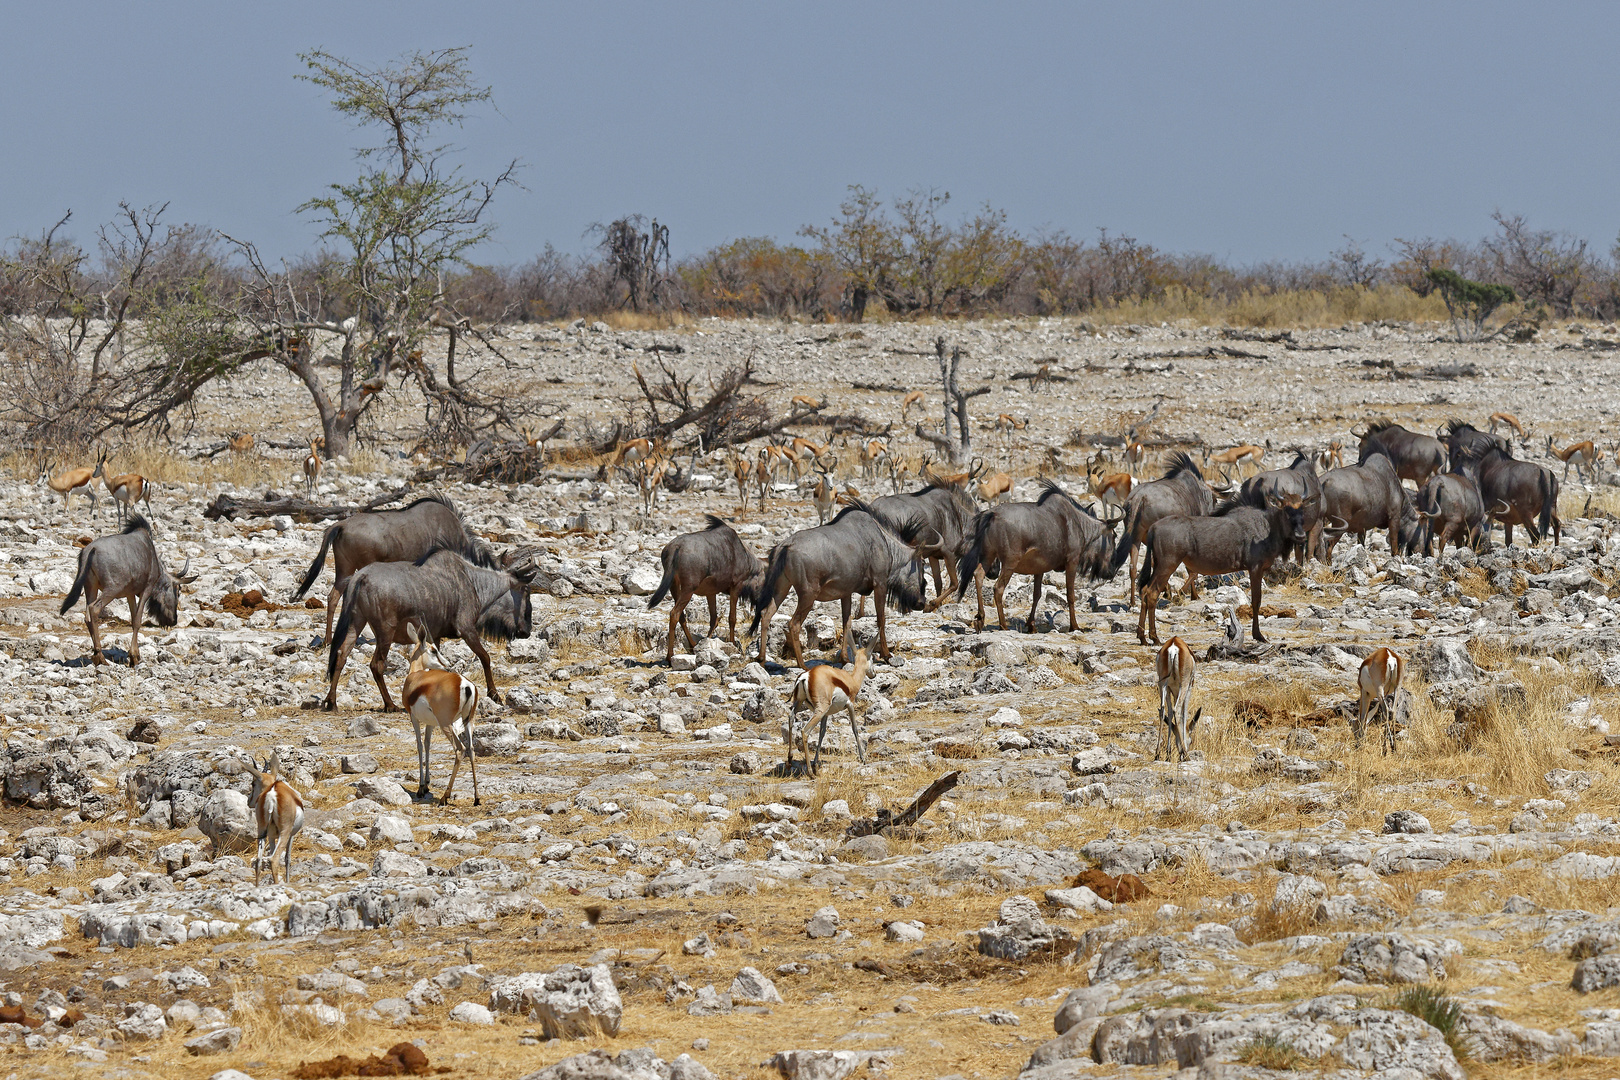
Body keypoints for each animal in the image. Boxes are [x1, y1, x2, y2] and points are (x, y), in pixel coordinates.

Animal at [403, 621, 479, 806]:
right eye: (433, 650)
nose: (447, 664)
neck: (415, 678)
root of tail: (465, 684)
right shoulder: (431, 722)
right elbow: (428, 744)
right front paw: (427, 784)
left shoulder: (413, 717)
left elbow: (419, 745)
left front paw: (421, 787)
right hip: (468, 721)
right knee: (471, 749)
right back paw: (476, 798)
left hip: (447, 724)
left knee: (460, 749)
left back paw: (445, 796)